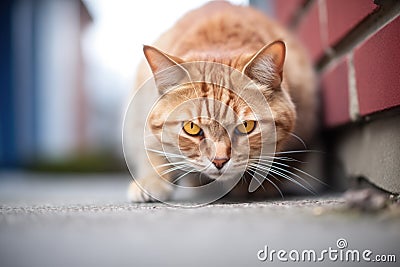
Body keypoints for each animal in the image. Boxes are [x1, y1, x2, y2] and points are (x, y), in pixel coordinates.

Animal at [126, 1, 318, 203]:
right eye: (192, 128)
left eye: (246, 126)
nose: (219, 161)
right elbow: (152, 148)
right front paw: (152, 180)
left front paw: (256, 186)